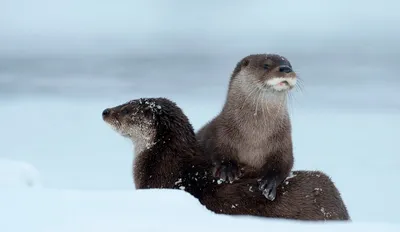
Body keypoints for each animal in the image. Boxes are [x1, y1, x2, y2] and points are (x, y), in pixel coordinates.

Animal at [197, 53, 296, 200]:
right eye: (266, 65)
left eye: (290, 65)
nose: (286, 69)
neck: (255, 135)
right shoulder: (219, 133)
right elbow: (216, 149)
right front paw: (228, 168)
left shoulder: (283, 143)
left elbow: (284, 163)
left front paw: (269, 182)